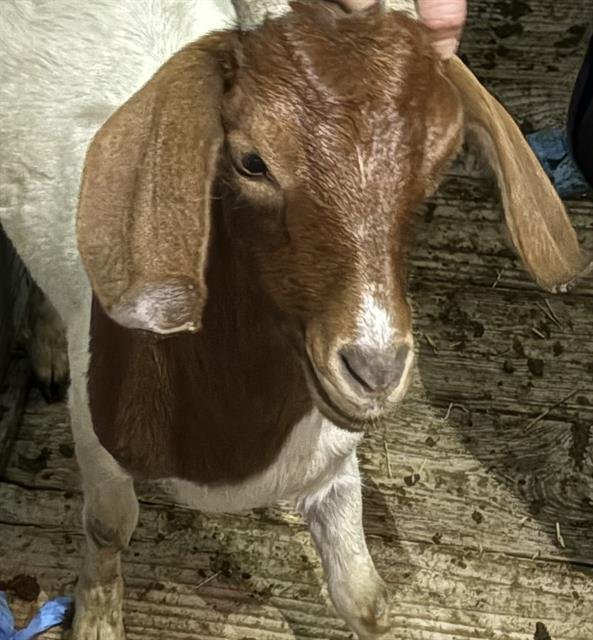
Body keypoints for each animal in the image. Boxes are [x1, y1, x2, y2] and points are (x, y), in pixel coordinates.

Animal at [1, 1, 589, 638]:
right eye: (251, 161)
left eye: (436, 164)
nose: (376, 369)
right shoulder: (96, 439)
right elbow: (108, 527)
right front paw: (97, 619)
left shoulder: (333, 465)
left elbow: (364, 598)